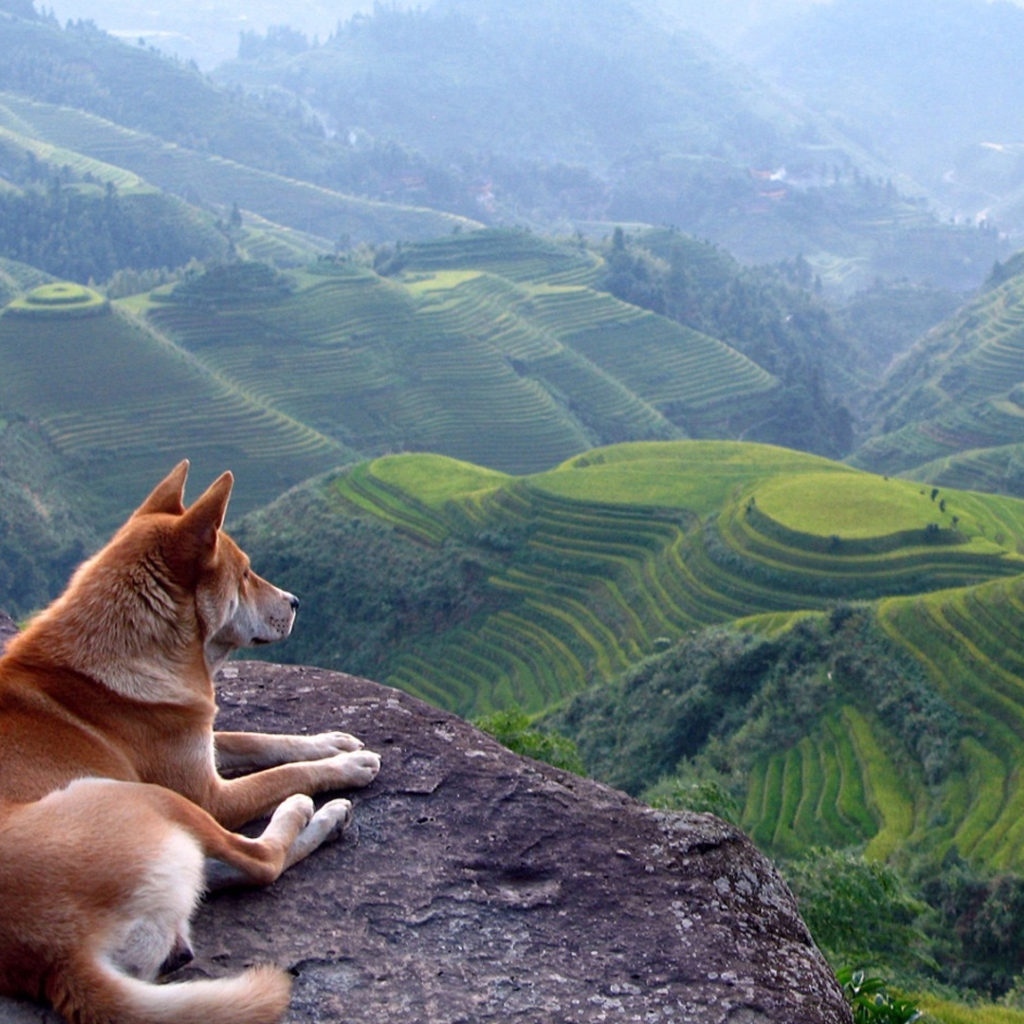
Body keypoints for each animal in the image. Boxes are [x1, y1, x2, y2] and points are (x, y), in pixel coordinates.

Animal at [0, 462, 380, 1024]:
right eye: (245, 573)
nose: (295, 602)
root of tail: (55, 957)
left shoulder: (199, 739)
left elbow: (257, 739)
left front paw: (331, 740)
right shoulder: (208, 793)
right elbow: (280, 772)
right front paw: (347, 765)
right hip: (150, 798)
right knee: (260, 861)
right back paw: (315, 813)